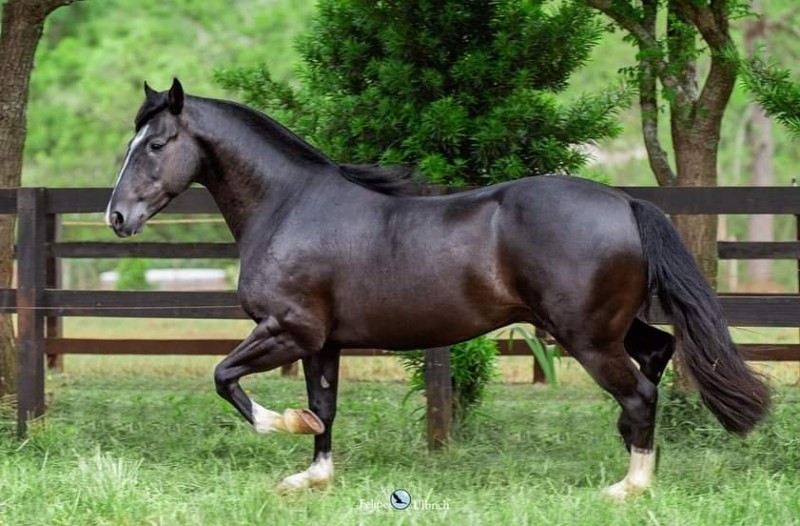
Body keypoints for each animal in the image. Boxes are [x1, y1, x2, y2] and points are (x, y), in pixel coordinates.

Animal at [105, 79, 770, 499]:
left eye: (157, 144)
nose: (117, 217)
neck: (291, 206)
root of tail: (626, 202)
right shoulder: (323, 342)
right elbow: (326, 408)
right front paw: (313, 476)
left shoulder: (287, 330)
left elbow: (224, 377)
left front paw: (285, 423)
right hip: (605, 327)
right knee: (657, 353)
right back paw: (634, 455)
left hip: (584, 335)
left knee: (639, 391)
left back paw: (630, 485)